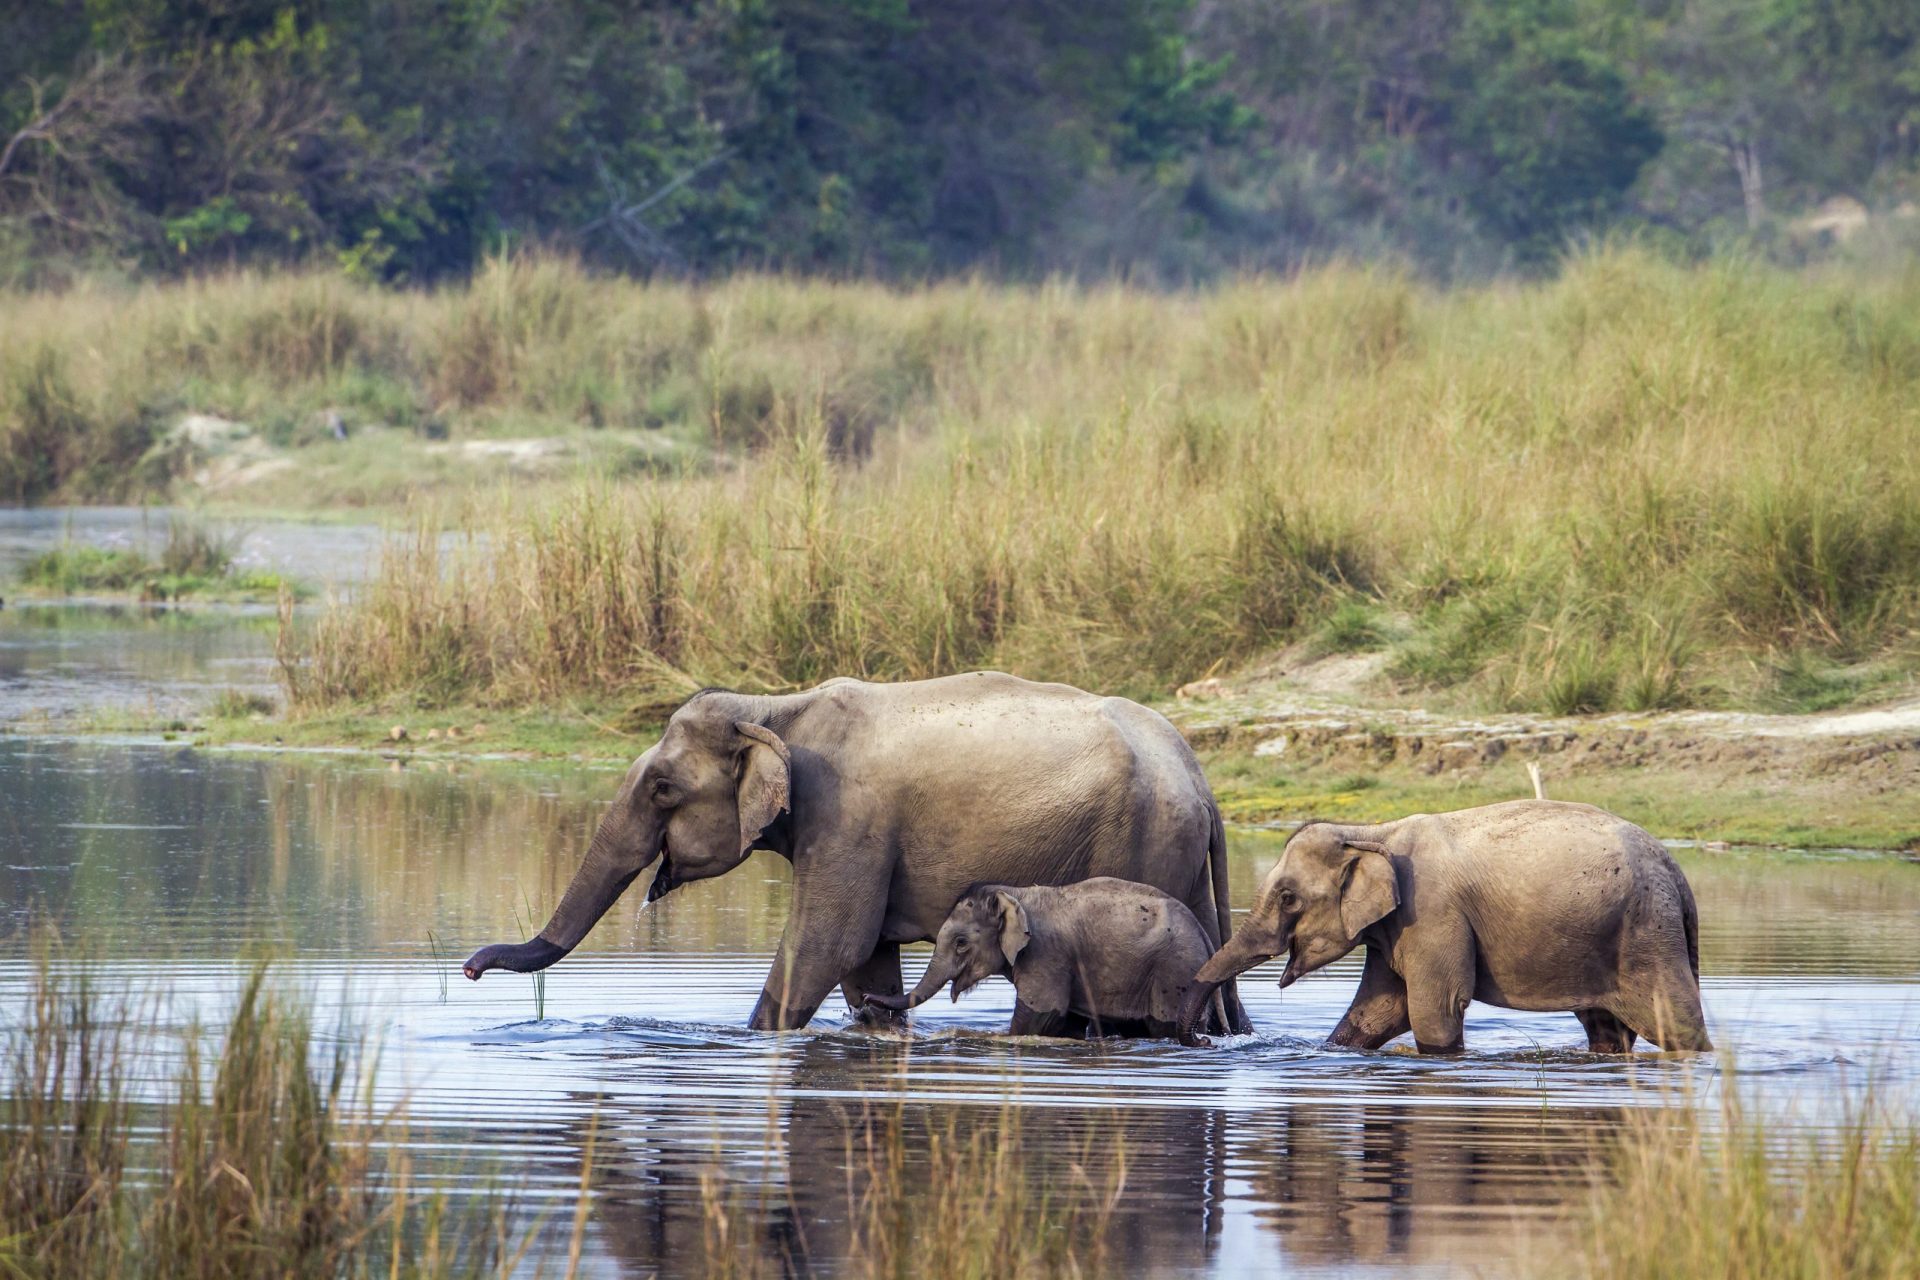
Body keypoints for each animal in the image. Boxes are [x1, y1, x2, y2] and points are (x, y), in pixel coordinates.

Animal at [867, 882, 1221, 1051]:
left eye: (961, 943)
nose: (868, 1001)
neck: (1015, 893)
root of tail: (1204, 935)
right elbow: (1068, 1023)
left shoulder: (1046, 955)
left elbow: (1039, 1018)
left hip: (1174, 972)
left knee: (1164, 1025)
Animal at [1175, 802, 1720, 1059]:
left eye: (1288, 897)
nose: (1203, 1042)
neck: (1372, 831)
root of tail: (1678, 875)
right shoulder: (1396, 926)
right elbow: (1378, 1010)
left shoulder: (1433, 913)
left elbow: (1432, 1007)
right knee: (1606, 1028)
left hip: (1647, 932)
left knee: (1675, 1021)